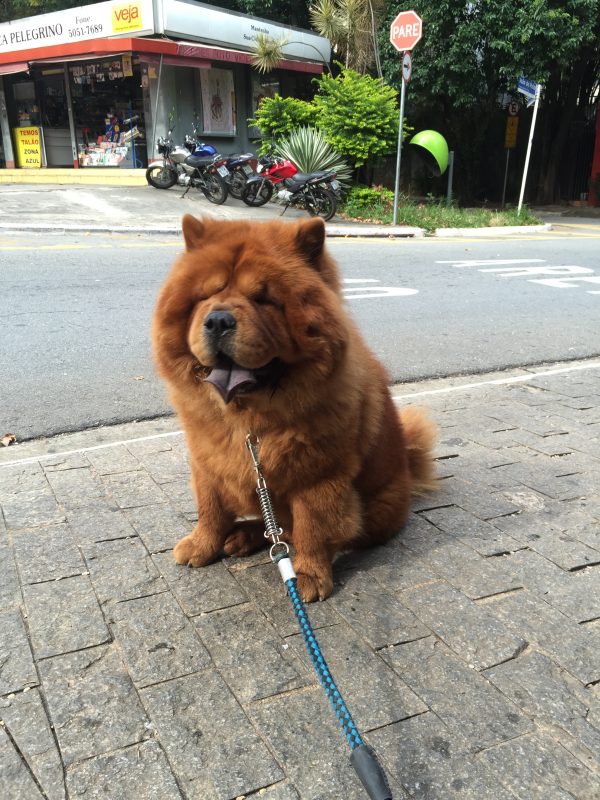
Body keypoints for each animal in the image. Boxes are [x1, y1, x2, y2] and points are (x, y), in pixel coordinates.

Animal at [152, 214, 436, 601]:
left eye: (263, 299)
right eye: (205, 296)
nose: (219, 320)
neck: (248, 420)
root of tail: (408, 463)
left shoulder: (318, 476)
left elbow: (310, 528)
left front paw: (308, 576)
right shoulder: (206, 460)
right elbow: (209, 508)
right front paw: (201, 545)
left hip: (377, 509)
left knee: (302, 531)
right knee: (272, 525)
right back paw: (244, 536)